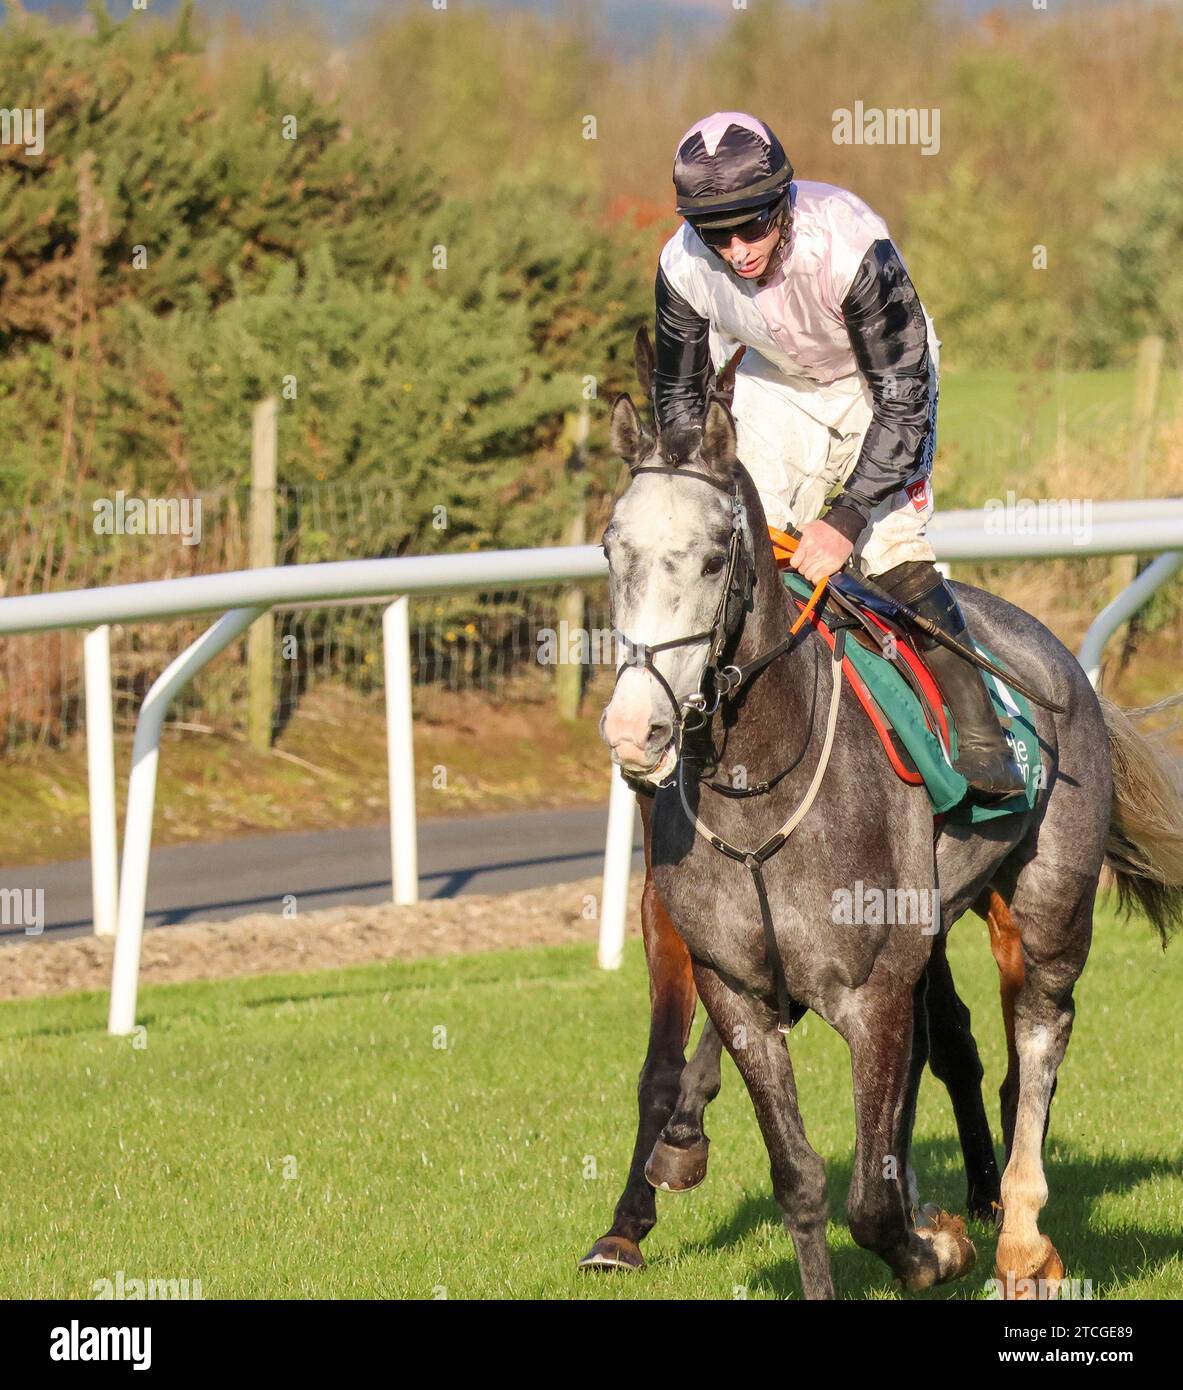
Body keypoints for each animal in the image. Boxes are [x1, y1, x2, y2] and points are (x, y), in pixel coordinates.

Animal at [583, 366, 1183, 1289]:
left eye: (714, 557)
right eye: (614, 553)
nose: (632, 728)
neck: (761, 785)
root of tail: (1057, 657)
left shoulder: (871, 995)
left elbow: (868, 1196)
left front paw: (934, 1246)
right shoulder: (737, 986)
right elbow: (798, 1174)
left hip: (1044, 907)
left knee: (1037, 1037)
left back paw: (1018, 1230)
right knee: (956, 1048)